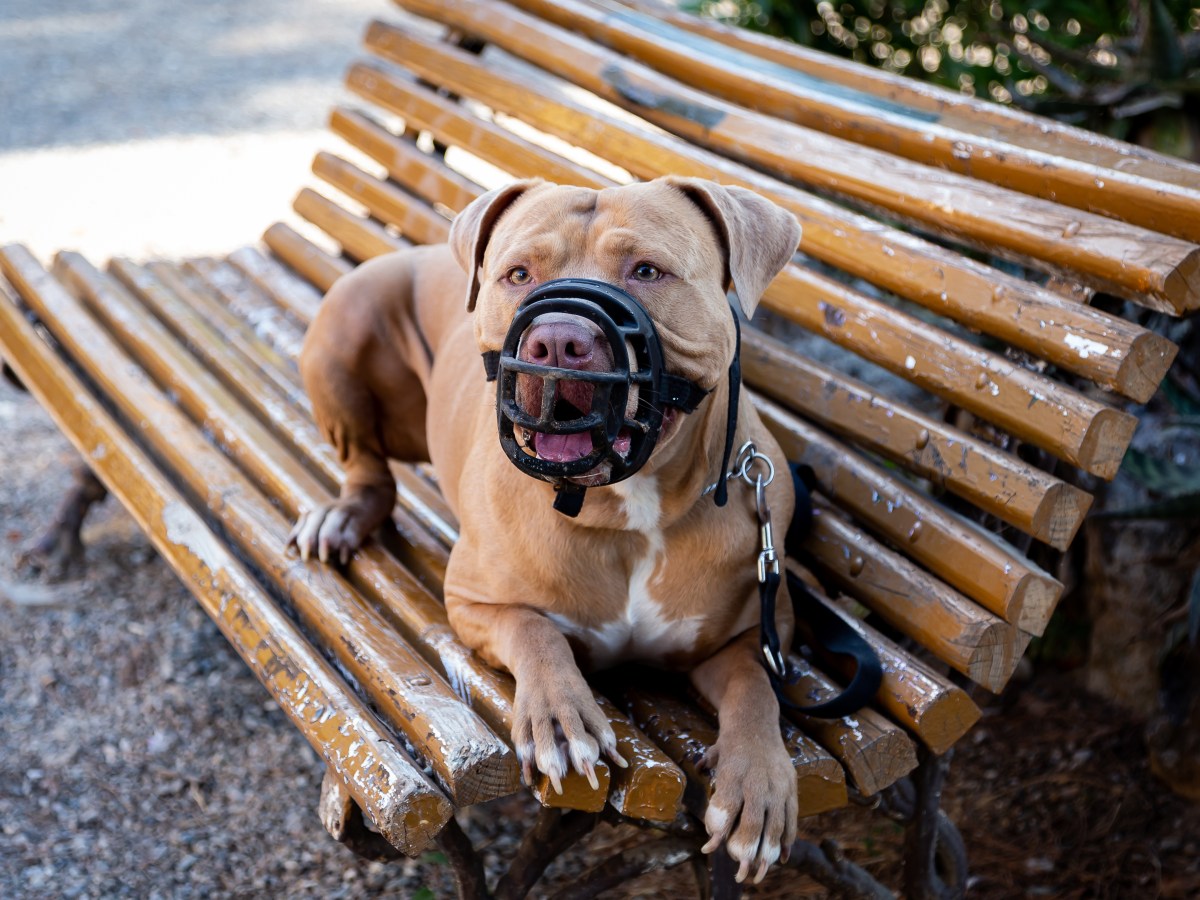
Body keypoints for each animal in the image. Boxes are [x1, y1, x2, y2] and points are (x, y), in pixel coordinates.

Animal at [288, 177, 806, 888]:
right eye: (518, 274)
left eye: (647, 271)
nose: (557, 341)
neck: (626, 510)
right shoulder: (473, 603)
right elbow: (535, 632)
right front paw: (560, 718)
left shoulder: (747, 636)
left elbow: (756, 691)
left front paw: (757, 782)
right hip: (347, 316)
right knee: (369, 471)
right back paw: (343, 516)